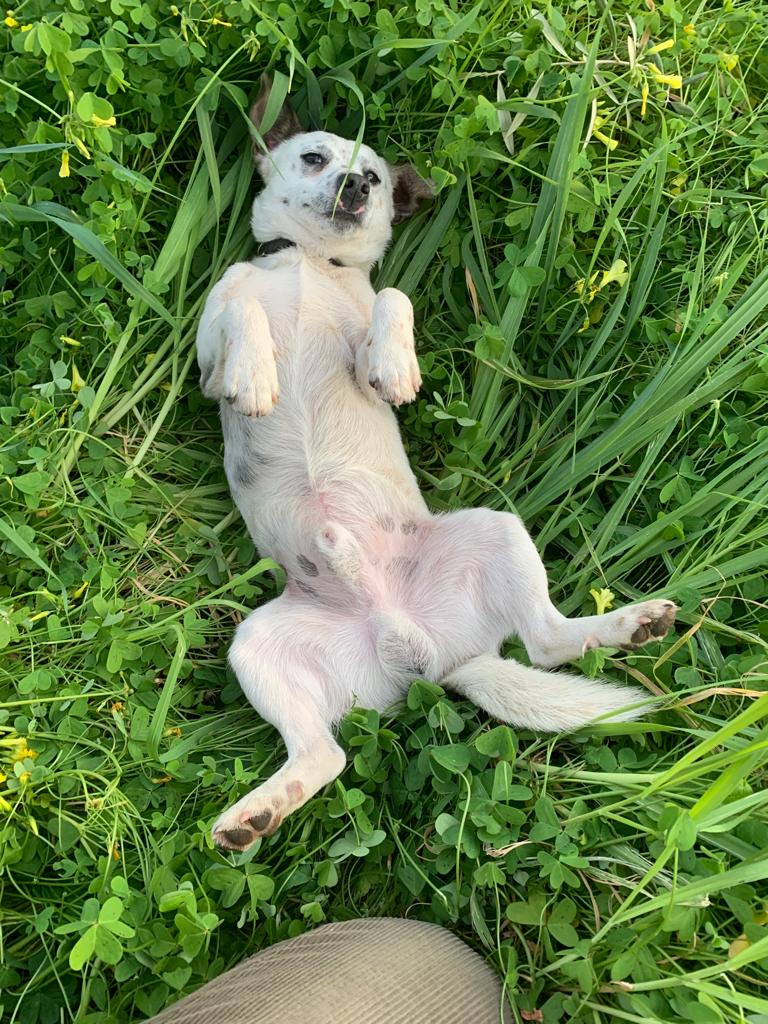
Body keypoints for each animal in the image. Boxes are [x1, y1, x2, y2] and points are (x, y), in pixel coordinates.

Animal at [196, 80, 677, 852]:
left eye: (376, 177)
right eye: (315, 156)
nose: (358, 186)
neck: (311, 266)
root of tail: (435, 653)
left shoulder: (365, 322)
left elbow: (393, 298)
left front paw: (396, 367)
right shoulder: (207, 357)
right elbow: (245, 310)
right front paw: (258, 375)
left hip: (495, 531)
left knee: (547, 642)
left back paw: (631, 625)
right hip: (258, 648)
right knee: (326, 755)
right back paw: (257, 813)